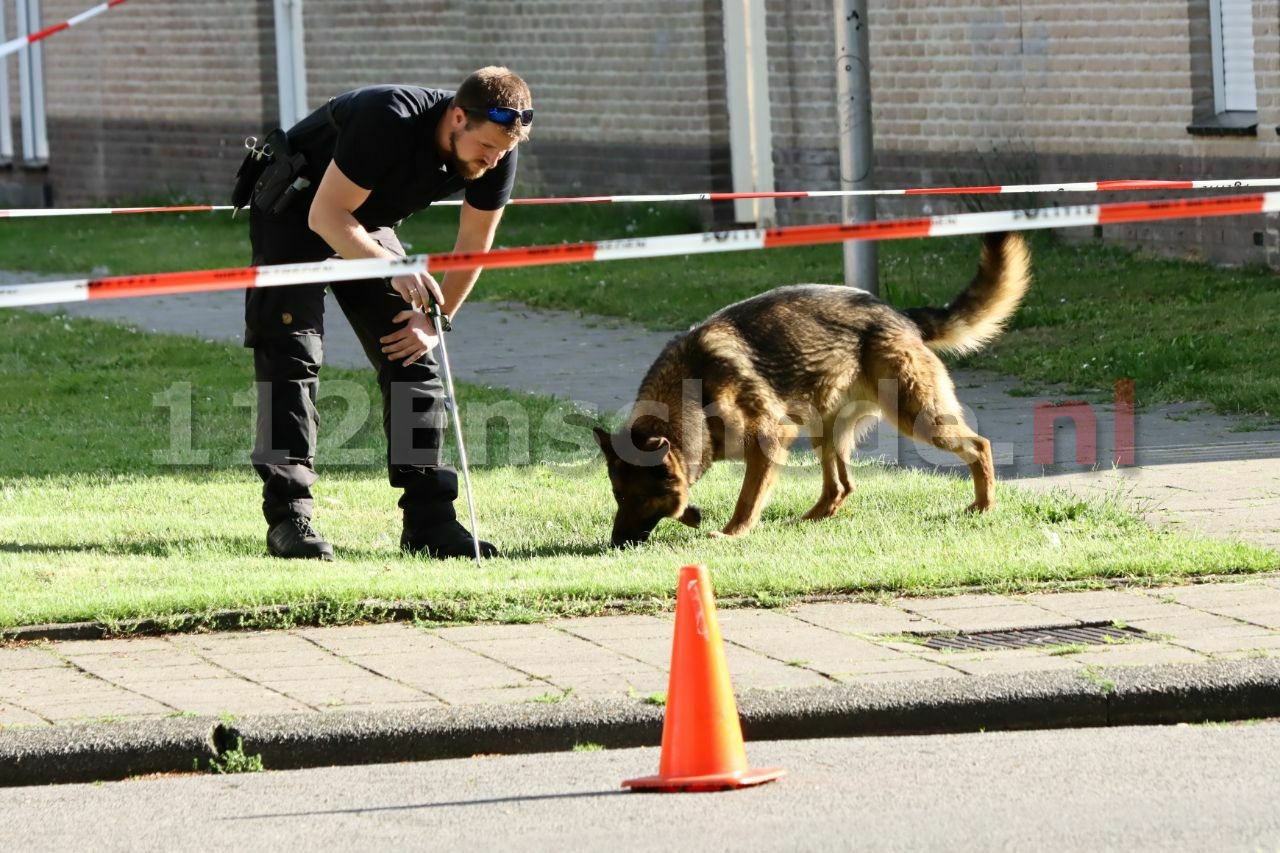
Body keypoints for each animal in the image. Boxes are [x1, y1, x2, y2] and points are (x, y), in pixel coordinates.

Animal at [588, 229, 1029, 545]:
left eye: (635, 497)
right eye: (616, 495)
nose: (615, 543)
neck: (696, 393)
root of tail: (898, 314)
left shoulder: (769, 439)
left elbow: (747, 497)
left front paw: (732, 533)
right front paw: (693, 515)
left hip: (915, 415)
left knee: (979, 446)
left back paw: (984, 504)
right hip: (825, 427)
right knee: (841, 487)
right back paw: (810, 519)